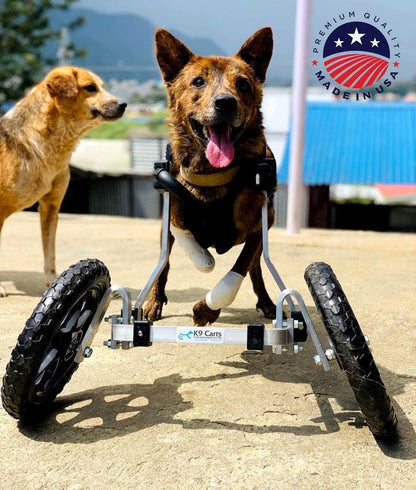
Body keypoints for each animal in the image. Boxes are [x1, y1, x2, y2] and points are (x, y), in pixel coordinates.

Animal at [0, 66, 127, 292]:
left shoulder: (51, 206)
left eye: (102, 86)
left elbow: (49, 253)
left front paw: (56, 284)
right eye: (90, 88)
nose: (123, 104)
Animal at [145, 25, 278, 326]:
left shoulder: (262, 224)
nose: (225, 103)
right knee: (164, 262)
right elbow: (179, 245)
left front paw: (207, 309)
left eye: (243, 84)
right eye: (197, 82)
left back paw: (266, 301)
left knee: (255, 266)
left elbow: (240, 267)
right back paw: (154, 300)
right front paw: (202, 259)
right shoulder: (172, 212)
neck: (213, 175)